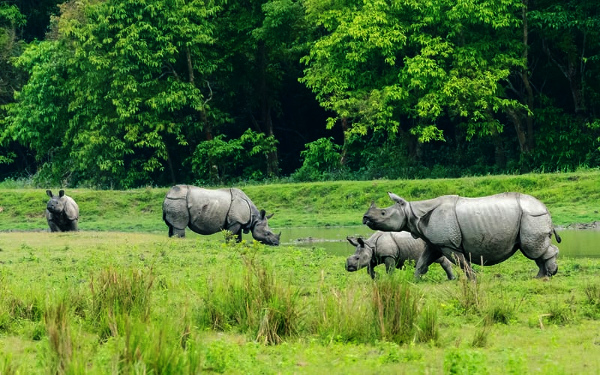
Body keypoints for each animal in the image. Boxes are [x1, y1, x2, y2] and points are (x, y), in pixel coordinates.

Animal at [360, 194, 564, 280]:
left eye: (383, 213)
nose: (365, 218)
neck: (412, 212)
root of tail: (545, 207)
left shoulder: (448, 244)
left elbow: (461, 262)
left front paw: (474, 279)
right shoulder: (435, 243)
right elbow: (422, 262)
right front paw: (415, 280)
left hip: (532, 216)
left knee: (532, 249)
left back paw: (547, 275)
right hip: (531, 216)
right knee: (533, 250)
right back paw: (540, 276)